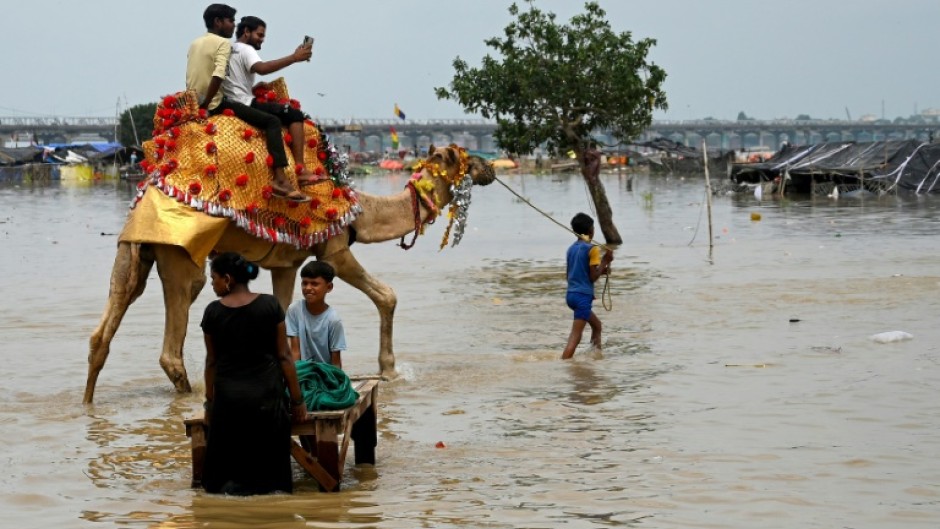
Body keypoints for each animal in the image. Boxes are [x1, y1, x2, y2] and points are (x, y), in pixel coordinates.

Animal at [83, 142, 496, 402]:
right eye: (462, 157)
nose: (490, 167)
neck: (360, 210)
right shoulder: (335, 248)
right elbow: (386, 295)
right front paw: (390, 371)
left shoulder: (286, 263)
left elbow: (281, 314)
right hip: (179, 258)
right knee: (172, 346)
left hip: (134, 253)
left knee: (104, 328)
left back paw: (87, 402)